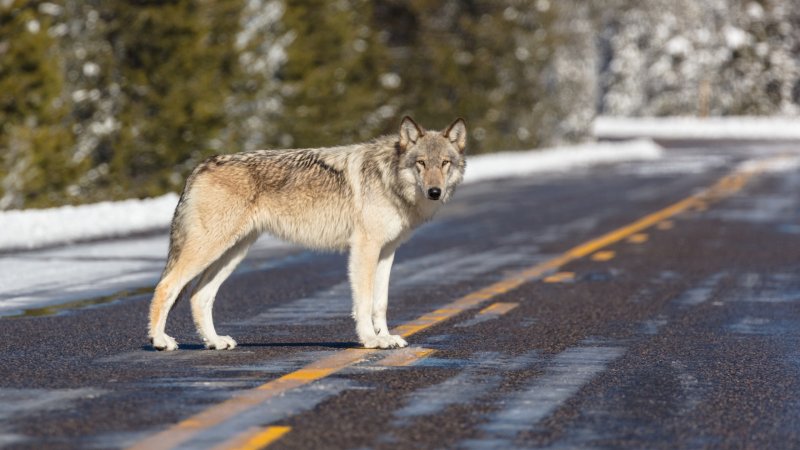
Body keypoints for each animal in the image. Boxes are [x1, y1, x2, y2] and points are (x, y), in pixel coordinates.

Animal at [147, 117, 466, 352]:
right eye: (421, 163)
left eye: (444, 163)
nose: (434, 192)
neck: (390, 178)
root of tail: (201, 166)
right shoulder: (364, 248)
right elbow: (363, 302)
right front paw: (370, 340)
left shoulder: (387, 251)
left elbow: (381, 303)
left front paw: (386, 337)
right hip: (210, 249)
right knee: (166, 286)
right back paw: (161, 341)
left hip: (233, 253)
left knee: (199, 296)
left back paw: (215, 342)